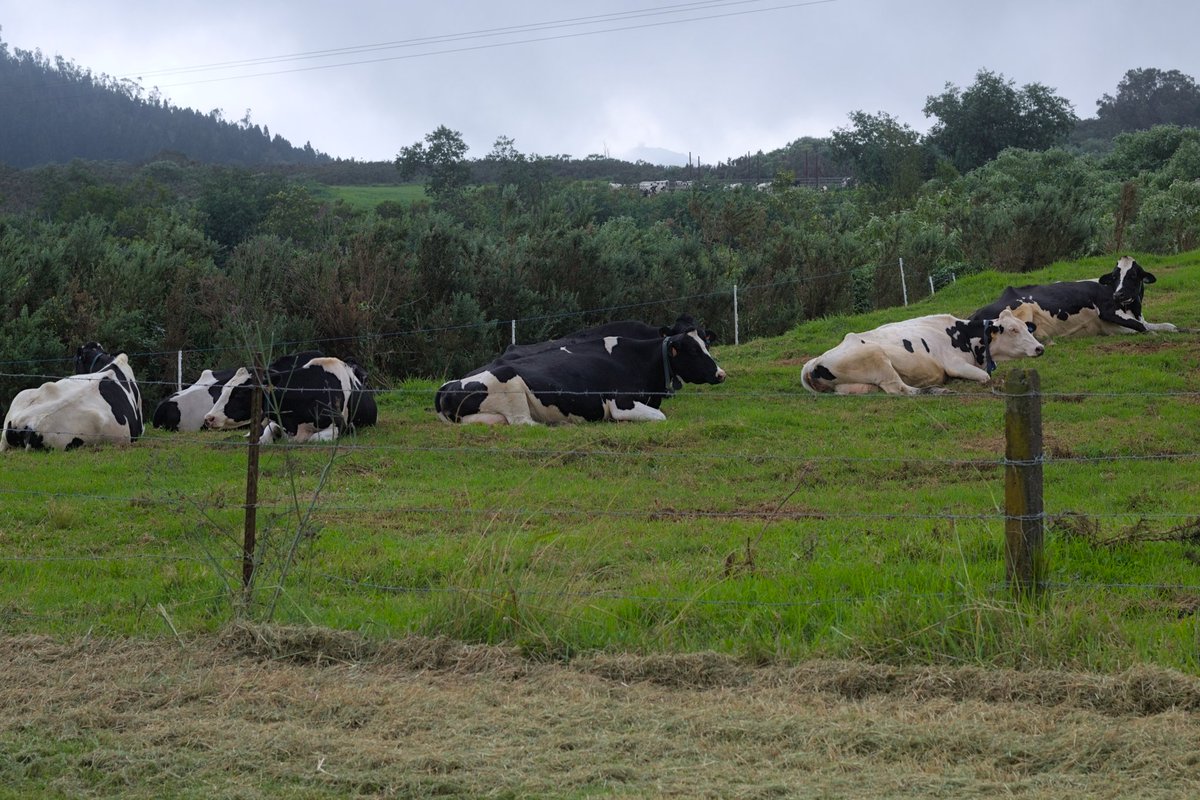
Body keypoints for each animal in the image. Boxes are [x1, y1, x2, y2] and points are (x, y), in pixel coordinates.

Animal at [200, 352, 374, 443]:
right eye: (223, 389)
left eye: (241, 393)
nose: (209, 418)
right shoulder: (277, 422)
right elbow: (265, 436)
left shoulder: (338, 426)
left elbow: (312, 439)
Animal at [436, 323, 724, 429]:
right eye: (694, 351)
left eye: (707, 344)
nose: (721, 373)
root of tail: (446, 387)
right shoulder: (620, 403)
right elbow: (660, 417)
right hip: (509, 381)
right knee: (524, 422)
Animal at [801, 307, 1046, 393]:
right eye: (1013, 330)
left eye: (1026, 327)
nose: (1039, 348)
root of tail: (813, 363)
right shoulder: (955, 364)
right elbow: (985, 377)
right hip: (877, 358)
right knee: (900, 389)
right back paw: (936, 390)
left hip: (855, 386)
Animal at [969, 256, 1176, 340]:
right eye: (1114, 276)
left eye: (1133, 275)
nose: (1118, 294)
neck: (1133, 309)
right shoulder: (1108, 312)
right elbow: (1140, 327)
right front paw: (1151, 333)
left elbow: (1167, 325)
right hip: (1022, 309)